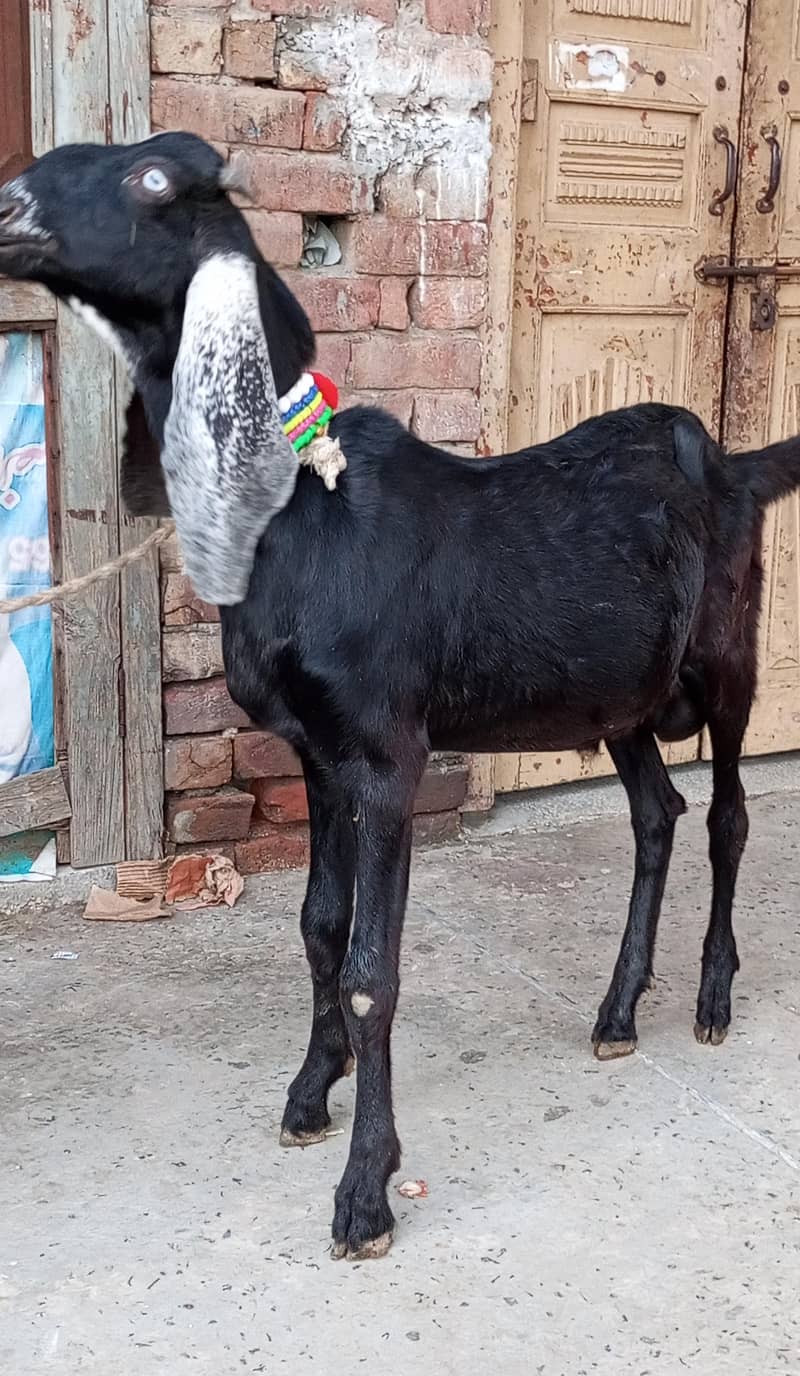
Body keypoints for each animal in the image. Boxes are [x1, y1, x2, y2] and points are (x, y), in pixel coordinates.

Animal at [2, 132, 800, 1260]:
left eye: (153, 181)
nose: (9, 210)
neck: (299, 509)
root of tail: (735, 461)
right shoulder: (315, 747)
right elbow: (318, 924)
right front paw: (309, 1089)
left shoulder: (387, 753)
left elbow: (372, 966)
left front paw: (365, 1192)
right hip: (614, 697)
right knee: (658, 811)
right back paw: (615, 1010)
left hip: (728, 657)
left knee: (728, 812)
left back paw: (711, 995)